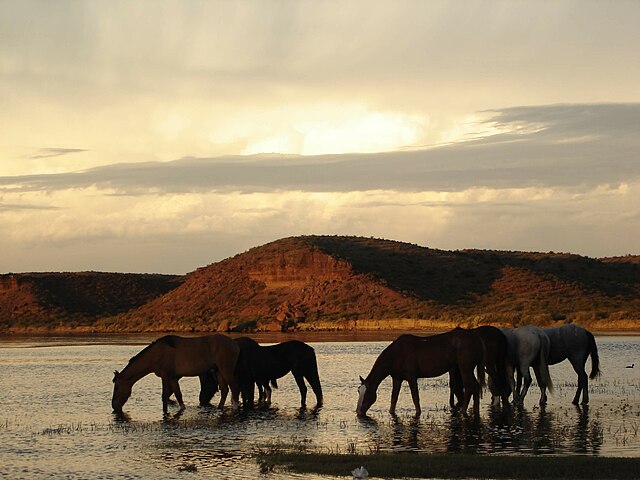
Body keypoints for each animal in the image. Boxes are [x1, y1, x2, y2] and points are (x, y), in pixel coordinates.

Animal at [111, 334, 241, 412]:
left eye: (117, 387)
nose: (114, 405)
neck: (156, 354)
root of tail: (234, 344)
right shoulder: (173, 378)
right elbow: (178, 395)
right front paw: (182, 408)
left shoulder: (165, 376)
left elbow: (164, 395)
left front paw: (164, 412)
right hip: (218, 371)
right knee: (225, 390)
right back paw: (219, 408)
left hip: (226, 371)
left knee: (234, 388)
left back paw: (235, 407)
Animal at [356, 330, 484, 416]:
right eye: (358, 391)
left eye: (367, 393)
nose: (358, 412)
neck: (396, 354)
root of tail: (477, 340)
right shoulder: (397, 378)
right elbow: (393, 399)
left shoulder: (411, 377)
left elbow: (415, 398)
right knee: (475, 387)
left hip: (465, 368)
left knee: (469, 387)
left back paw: (463, 411)